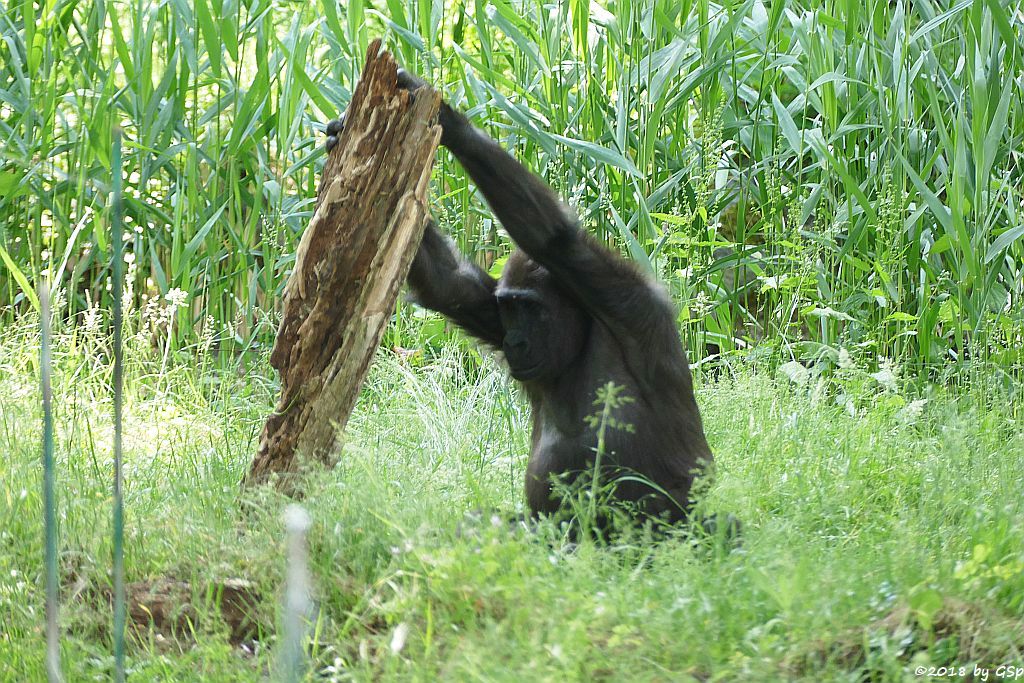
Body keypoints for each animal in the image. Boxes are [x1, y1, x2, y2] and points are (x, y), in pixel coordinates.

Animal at [325, 70, 712, 528]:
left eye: (531, 308)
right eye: (510, 310)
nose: (515, 341)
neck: (584, 333)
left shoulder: (623, 295)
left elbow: (552, 238)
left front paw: (449, 121)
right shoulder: (490, 307)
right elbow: (448, 284)